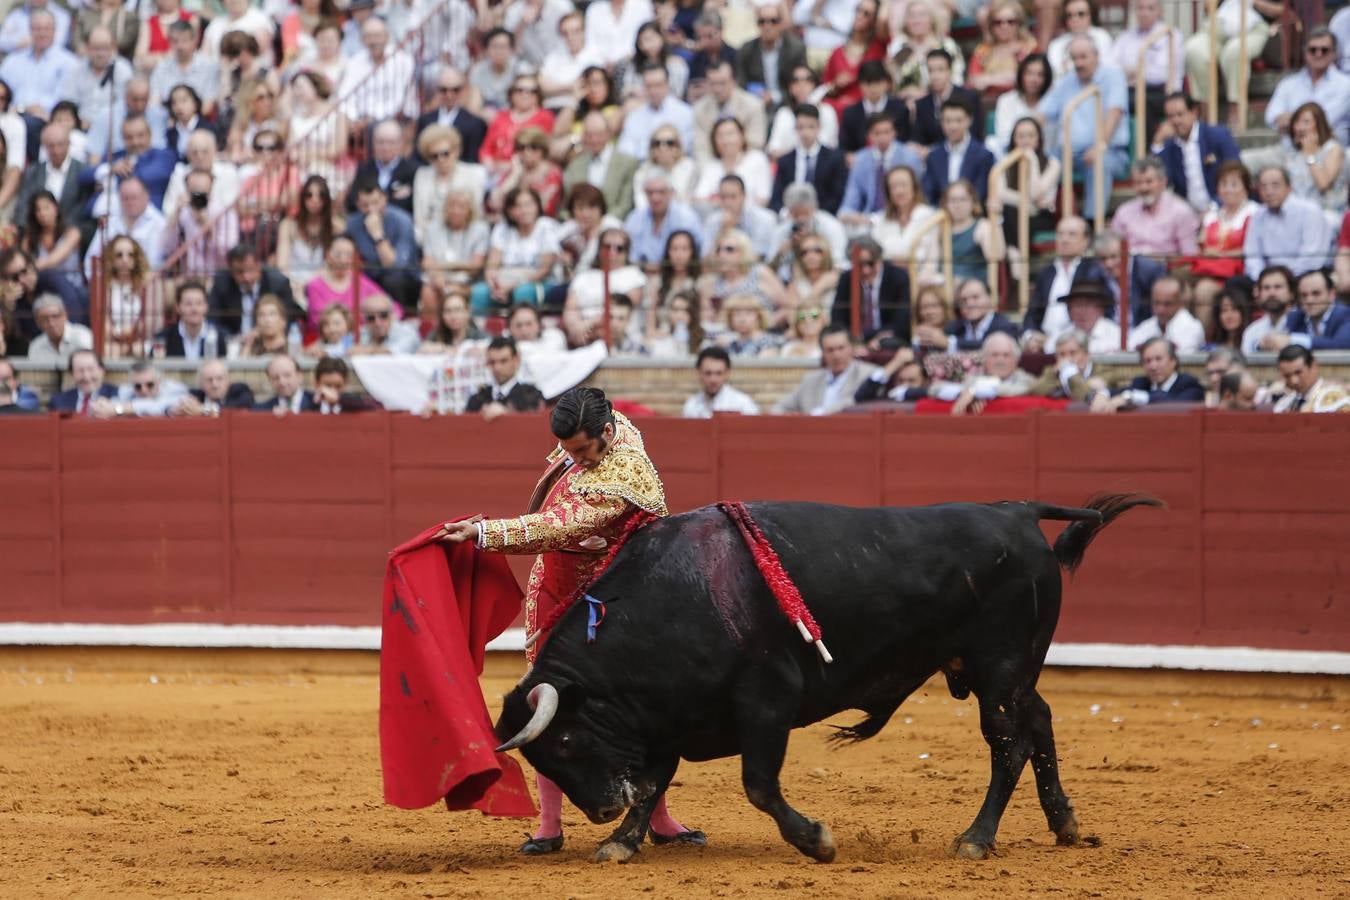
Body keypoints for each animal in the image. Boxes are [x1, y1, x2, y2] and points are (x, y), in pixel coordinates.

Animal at [494, 496, 1161, 863]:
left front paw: (816, 840)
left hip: (998, 667)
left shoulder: (765, 700)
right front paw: (621, 842)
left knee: (1008, 744)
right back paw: (1064, 824)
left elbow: (758, 785)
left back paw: (976, 837)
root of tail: (1016, 511)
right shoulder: (667, 717)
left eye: (566, 740)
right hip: (1010, 669)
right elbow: (655, 782)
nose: (601, 809)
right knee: (1040, 722)